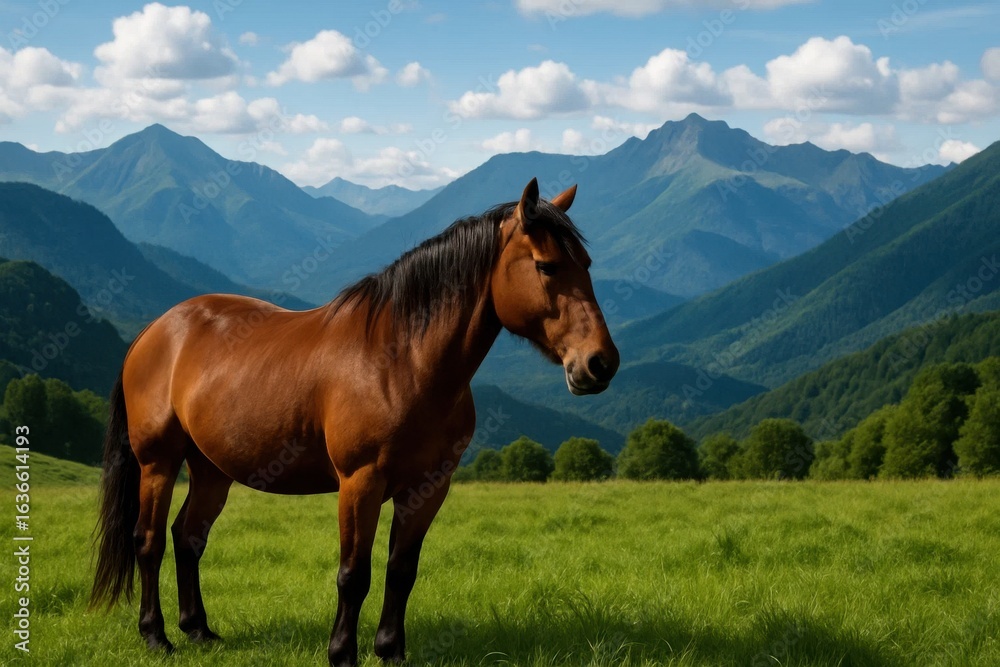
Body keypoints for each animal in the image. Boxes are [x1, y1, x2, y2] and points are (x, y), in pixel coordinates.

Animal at [90, 177, 620, 666]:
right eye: (547, 265)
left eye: (587, 265)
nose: (600, 363)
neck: (403, 361)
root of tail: (156, 330)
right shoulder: (359, 482)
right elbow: (353, 574)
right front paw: (342, 653)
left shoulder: (429, 487)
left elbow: (401, 569)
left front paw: (391, 650)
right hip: (158, 463)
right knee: (148, 541)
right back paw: (156, 636)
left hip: (212, 470)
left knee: (188, 537)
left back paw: (199, 630)